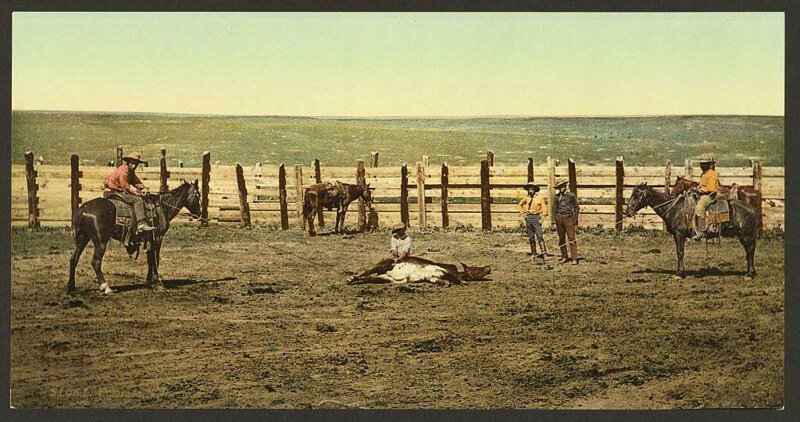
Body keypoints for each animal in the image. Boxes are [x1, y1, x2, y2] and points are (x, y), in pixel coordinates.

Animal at [67, 180, 202, 296]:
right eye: (197, 195)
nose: (199, 214)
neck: (162, 208)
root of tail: (83, 209)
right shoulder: (158, 238)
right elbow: (156, 260)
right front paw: (157, 283)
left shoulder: (150, 239)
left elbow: (150, 260)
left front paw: (149, 282)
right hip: (100, 241)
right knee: (96, 262)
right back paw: (106, 287)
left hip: (82, 238)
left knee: (74, 259)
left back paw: (71, 287)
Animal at [624, 182, 756, 278]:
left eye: (637, 195)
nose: (627, 212)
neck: (676, 209)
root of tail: (751, 209)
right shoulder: (677, 235)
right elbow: (679, 252)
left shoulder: (679, 234)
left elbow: (680, 252)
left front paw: (679, 273)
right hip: (743, 236)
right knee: (748, 251)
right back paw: (749, 272)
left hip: (747, 235)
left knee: (750, 251)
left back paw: (750, 274)